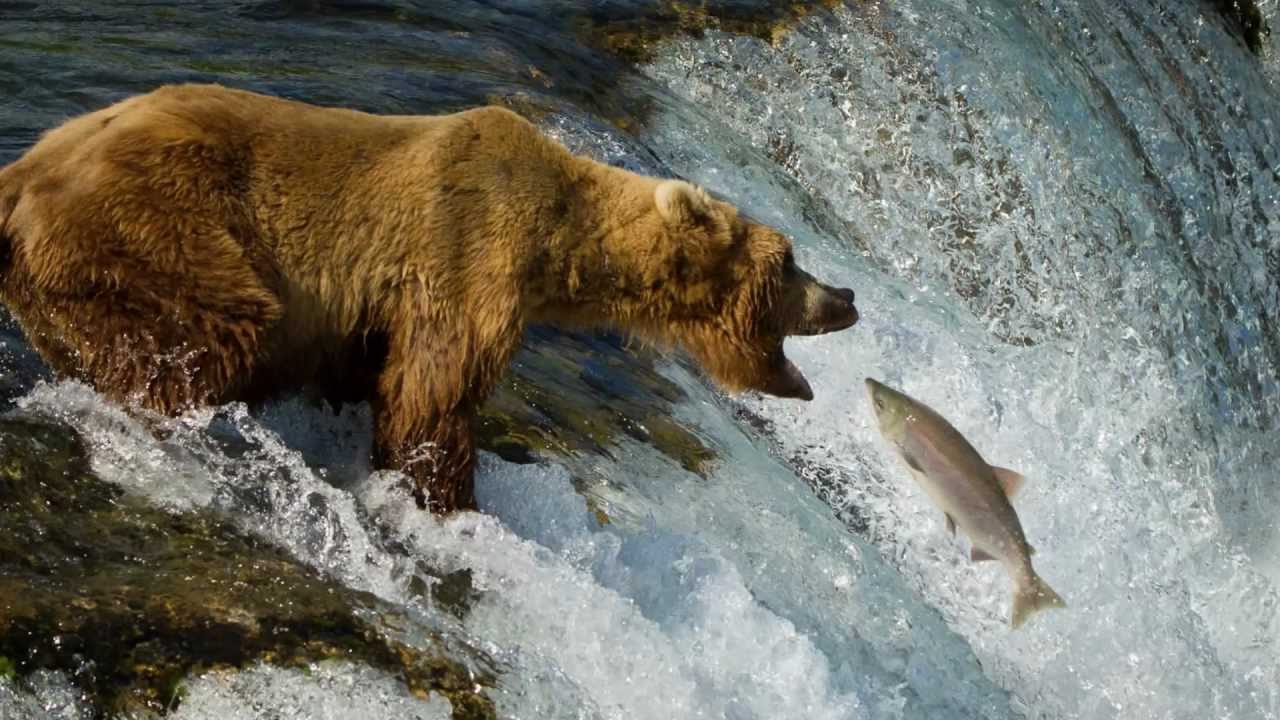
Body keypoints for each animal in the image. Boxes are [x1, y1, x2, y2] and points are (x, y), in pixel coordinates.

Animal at [2, 82, 860, 509]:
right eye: (789, 262)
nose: (847, 294)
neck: (559, 240)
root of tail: (25, 170)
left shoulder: (369, 312)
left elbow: (370, 372)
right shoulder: (464, 249)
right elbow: (433, 392)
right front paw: (441, 495)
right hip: (160, 223)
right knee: (213, 327)